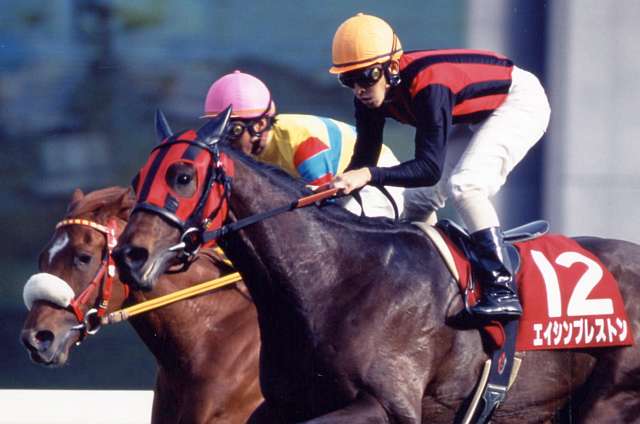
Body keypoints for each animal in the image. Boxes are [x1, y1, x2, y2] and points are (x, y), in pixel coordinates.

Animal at [114, 109, 640, 423]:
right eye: (139, 178)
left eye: (183, 176)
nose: (130, 255)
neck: (331, 279)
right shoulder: (282, 404)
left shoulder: (387, 407)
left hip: (610, 402)